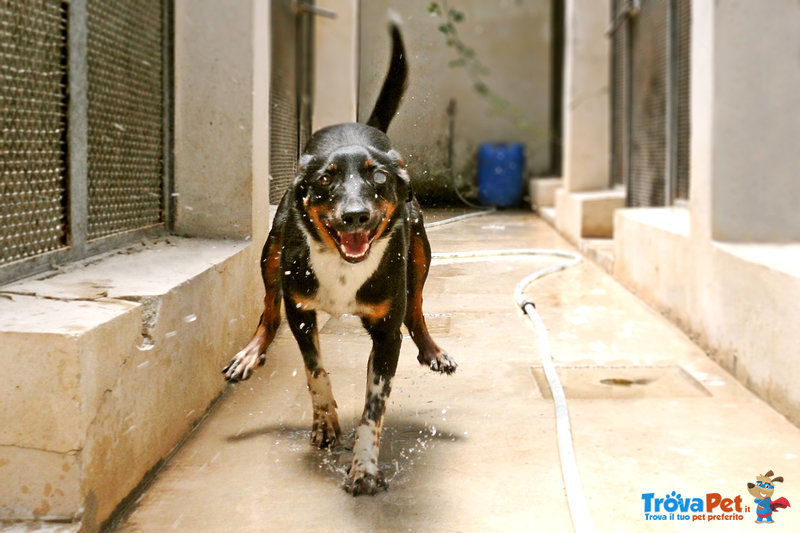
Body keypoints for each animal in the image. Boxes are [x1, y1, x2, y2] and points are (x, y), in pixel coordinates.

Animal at [222, 20, 454, 494]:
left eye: (377, 177)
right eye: (326, 179)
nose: (354, 215)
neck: (343, 266)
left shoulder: (386, 335)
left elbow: (373, 409)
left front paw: (364, 466)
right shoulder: (300, 311)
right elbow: (315, 370)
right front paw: (325, 420)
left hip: (421, 250)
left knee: (417, 308)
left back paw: (431, 349)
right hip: (270, 252)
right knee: (268, 310)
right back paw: (252, 352)